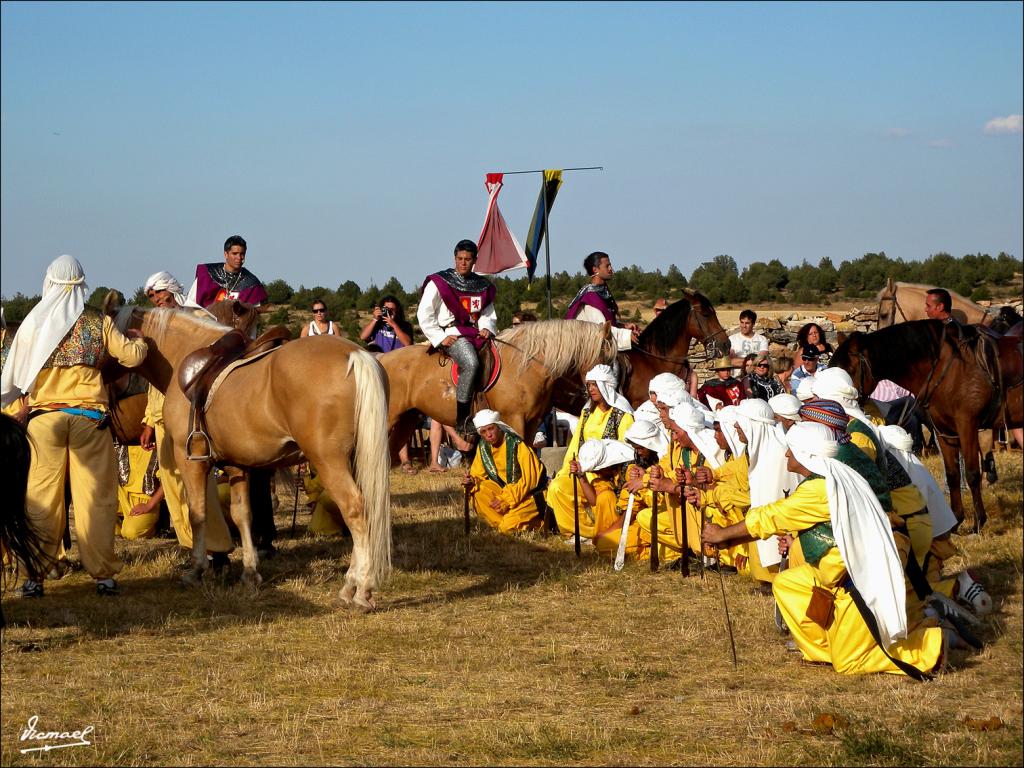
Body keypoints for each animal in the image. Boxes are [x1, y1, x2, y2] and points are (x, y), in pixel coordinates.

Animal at [112, 305, 389, 606]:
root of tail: (355, 354)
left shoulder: (190, 463)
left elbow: (197, 513)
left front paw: (197, 569)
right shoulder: (238, 467)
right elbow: (242, 514)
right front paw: (249, 572)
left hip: (329, 461)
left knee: (355, 509)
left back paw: (358, 587)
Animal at [378, 319, 610, 450]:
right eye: (606, 356)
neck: (525, 364)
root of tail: (379, 360)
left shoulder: (532, 423)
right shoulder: (514, 419)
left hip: (407, 421)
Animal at [831, 321, 1024, 532]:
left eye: (848, 370)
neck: (950, 370)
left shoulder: (967, 426)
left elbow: (972, 474)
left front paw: (978, 523)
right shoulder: (944, 432)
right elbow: (953, 474)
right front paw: (956, 521)